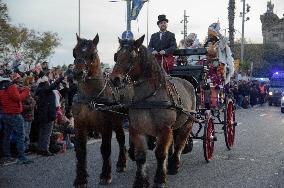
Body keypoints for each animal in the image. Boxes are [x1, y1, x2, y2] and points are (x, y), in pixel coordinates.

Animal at [72, 33, 127, 187]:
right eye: (74, 52)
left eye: (92, 54)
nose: (77, 73)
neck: (91, 98)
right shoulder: (79, 126)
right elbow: (81, 150)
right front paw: (80, 179)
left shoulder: (106, 126)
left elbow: (105, 149)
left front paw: (105, 175)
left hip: (118, 121)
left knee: (122, 139)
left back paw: (122, 163)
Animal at [110, 35, 196, 188]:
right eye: (116, 55)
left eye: (132, 56)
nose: (115, 79)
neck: (149, 98)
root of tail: (187, 82)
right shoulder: (137, 129)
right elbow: (140, 156)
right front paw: (140, 181)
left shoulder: (164, 129)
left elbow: (161, 153)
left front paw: (160, 179)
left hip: (188, 122)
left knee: (180, 143)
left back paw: (174, 165)